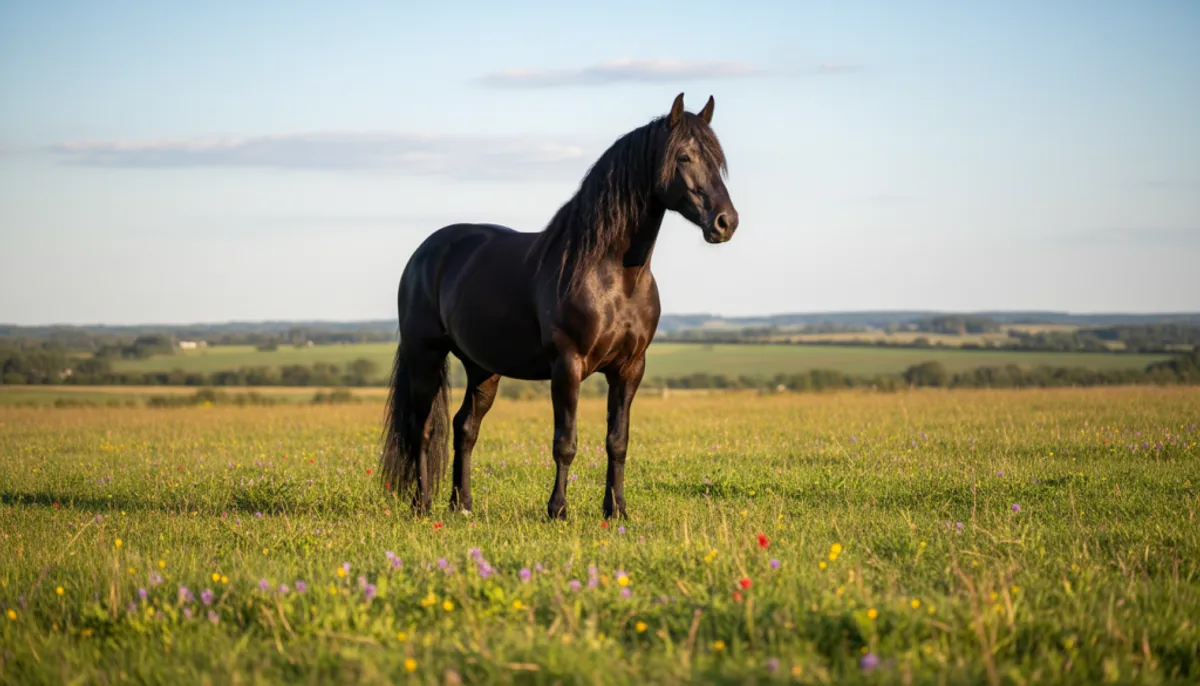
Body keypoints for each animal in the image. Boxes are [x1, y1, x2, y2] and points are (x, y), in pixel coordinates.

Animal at [379, 92, 739, 520]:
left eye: (717, 161)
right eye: (683, 157)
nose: (726, 222)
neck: (612, 274)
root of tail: (426, 252)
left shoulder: (630, 369)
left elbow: (617, 441)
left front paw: (616, 511)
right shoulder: (568, 365)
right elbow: (565, 442)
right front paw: (558, 510)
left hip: (483, 367)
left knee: (465, 427)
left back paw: (462, 505)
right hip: (425, 355)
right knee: (422, 429)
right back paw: (422, 505)